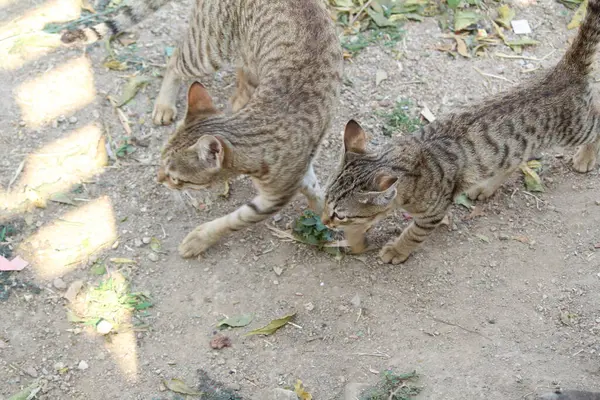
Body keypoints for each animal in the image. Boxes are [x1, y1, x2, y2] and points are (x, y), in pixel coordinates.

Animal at [62, 0, 342, 258]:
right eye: (162, 166)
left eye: (176, 177)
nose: (159, 179)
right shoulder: (273, 198)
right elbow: (233, 220)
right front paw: (199, 239)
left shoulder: (287, 183)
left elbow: (312, 191)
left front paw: (325, 212)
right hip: (207, 49)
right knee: (175, 60)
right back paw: (164, 104)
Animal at [324, 0, 600, 264]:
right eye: (326, 200)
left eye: (340, 214)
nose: (325, 220)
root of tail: (564, 70)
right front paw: (356, 240)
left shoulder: (432, 213)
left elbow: (413, 234)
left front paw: (397, 250)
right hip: (515, 147)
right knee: (512, 161)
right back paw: (486, 187)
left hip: (575, 129)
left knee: (596, 121)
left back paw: (585, 157)